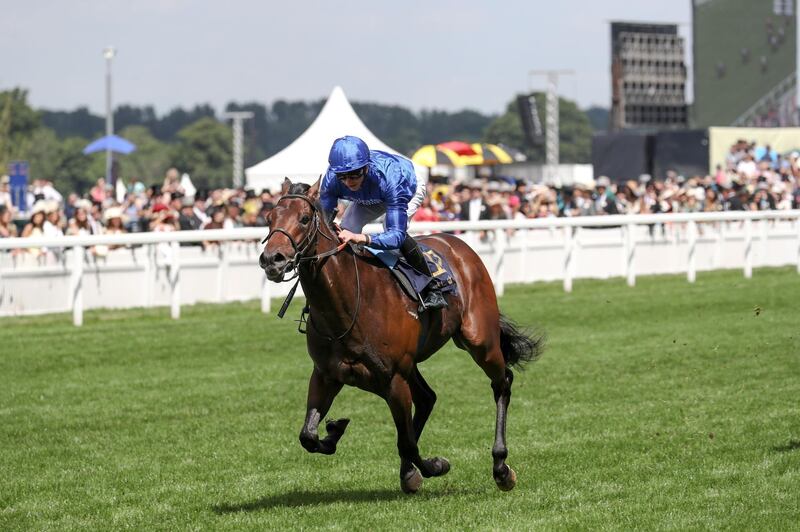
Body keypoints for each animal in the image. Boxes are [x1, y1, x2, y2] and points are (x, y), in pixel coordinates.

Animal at [260, 179, 540, 494]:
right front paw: (334, 430)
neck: (348, 303)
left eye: (304, 219)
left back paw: (501, 467)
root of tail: (458, 244)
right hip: (412, 365)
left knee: (502, 383)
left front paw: (434, 466)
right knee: (428, 398)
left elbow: (406, 442)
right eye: (269, 218)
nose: (272, 259)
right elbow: (307, 435)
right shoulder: (326, 374)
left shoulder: (394, 379)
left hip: (480, 341)